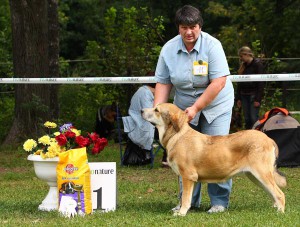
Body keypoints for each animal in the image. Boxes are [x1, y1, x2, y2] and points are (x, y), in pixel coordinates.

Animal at [142, 103, 288, 216]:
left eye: (156, 110)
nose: (141, 110)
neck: (176, 136)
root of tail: (268, 139)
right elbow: (186, 197)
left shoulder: (188, 176)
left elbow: (186, 198)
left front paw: (181, 213)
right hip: (255, 176)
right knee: (273, 194)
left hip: (262, 173)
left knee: (280, 194)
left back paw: (279, 213)